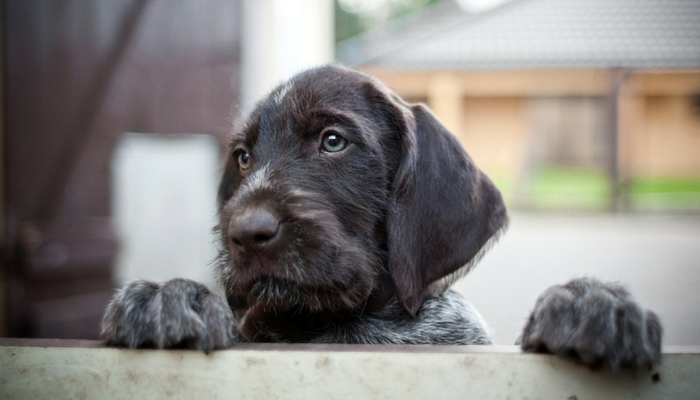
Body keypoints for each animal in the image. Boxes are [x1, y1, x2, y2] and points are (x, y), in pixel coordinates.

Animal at [100, 65, 660, 368]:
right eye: (242, 157)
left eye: (333, 141)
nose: (244, 233)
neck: (341, 325)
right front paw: (170, 296)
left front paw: (590, 305)